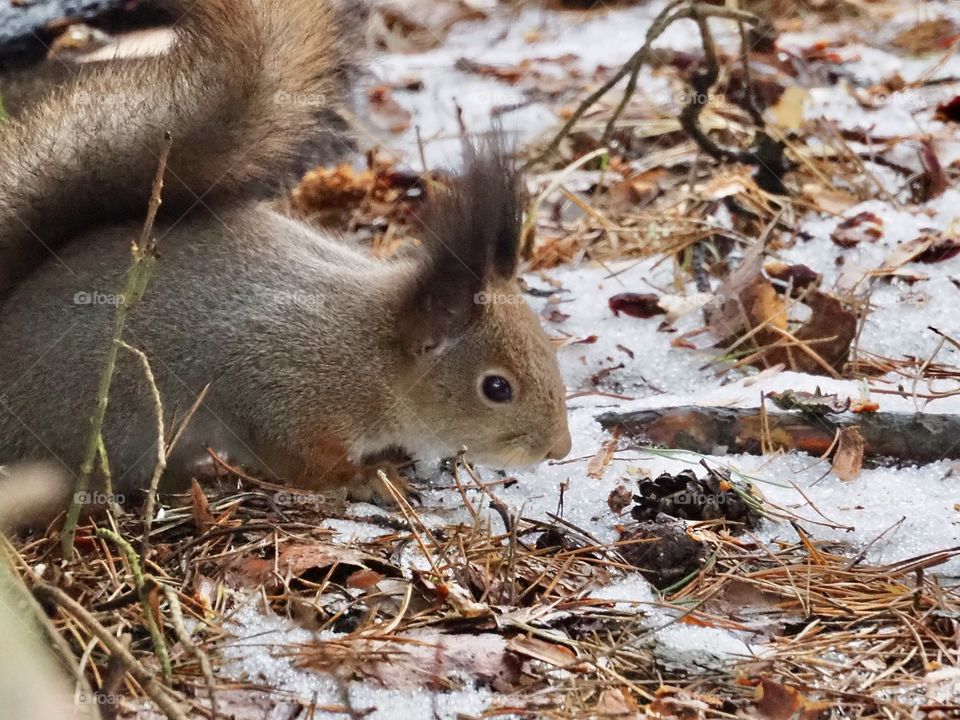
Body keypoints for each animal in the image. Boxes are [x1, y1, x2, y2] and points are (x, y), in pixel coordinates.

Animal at [0, 0, 572, 505]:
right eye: (496, 388)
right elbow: (297, 458)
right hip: (104, 425)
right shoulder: (282, 384)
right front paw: (364, 479)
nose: (559, 448)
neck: (376, 353)